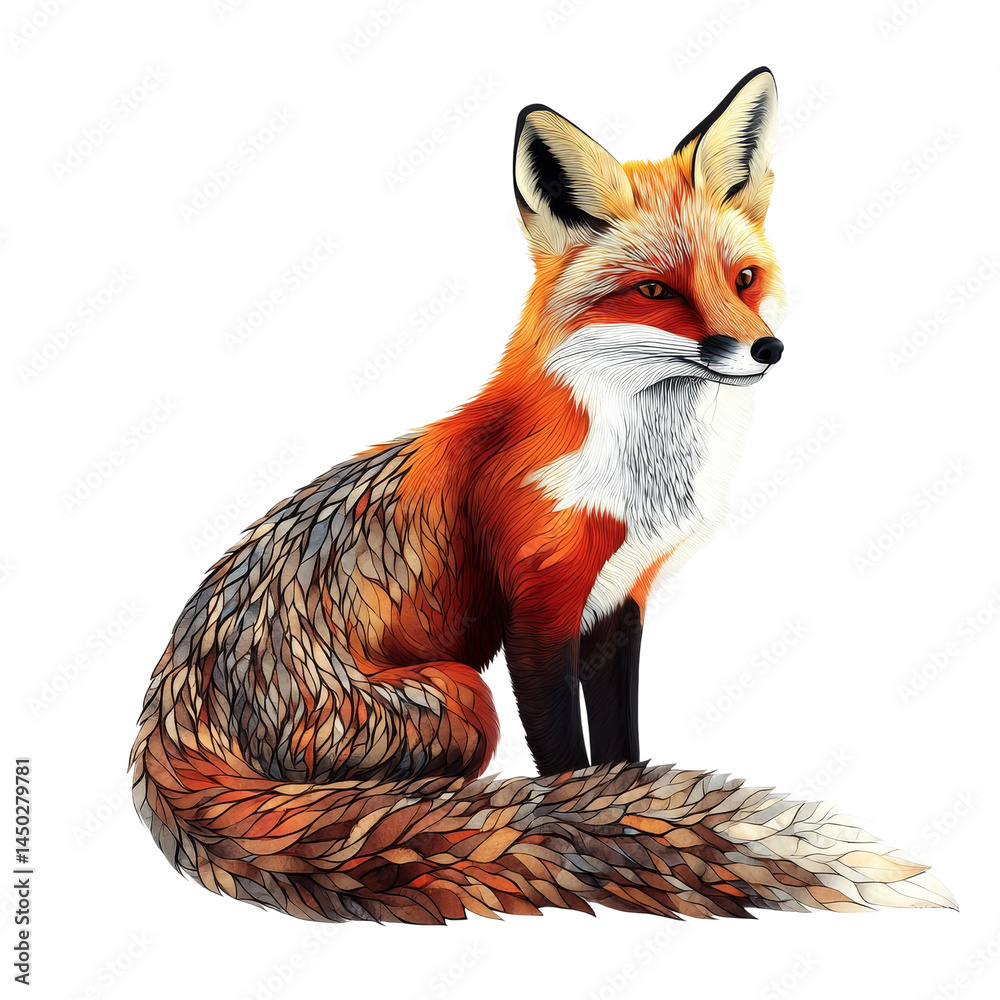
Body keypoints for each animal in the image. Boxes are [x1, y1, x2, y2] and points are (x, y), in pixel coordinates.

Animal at [130, 68, 954, 923]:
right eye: (655, 290)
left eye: (743, 279)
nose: (767, 348)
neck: (639, 477)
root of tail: (178, 690)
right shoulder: (539, 610)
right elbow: (565, 764)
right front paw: (583, 828)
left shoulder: (620, 604)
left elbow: (619, 748)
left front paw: (631, 812)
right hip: (461, 696)